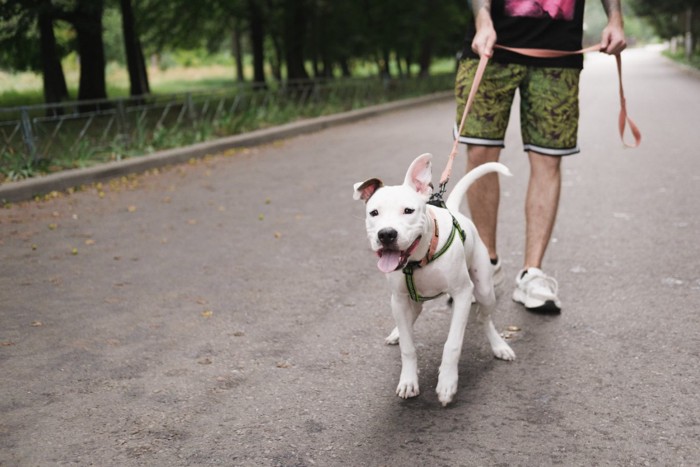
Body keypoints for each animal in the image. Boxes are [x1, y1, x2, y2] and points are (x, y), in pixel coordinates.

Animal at [356, 153, 516, 406]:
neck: (419, 260)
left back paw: (499, 345)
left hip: (483, 290)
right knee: (412, 319)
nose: (386, 234)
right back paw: (397, 332)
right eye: (374, 213)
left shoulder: (462, 294)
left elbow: (452, 344)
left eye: (408, 210)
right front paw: (408, 381)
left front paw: (447, 383)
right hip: (411, 302)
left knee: (484, 318)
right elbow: (408, 347)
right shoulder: (399, 300)